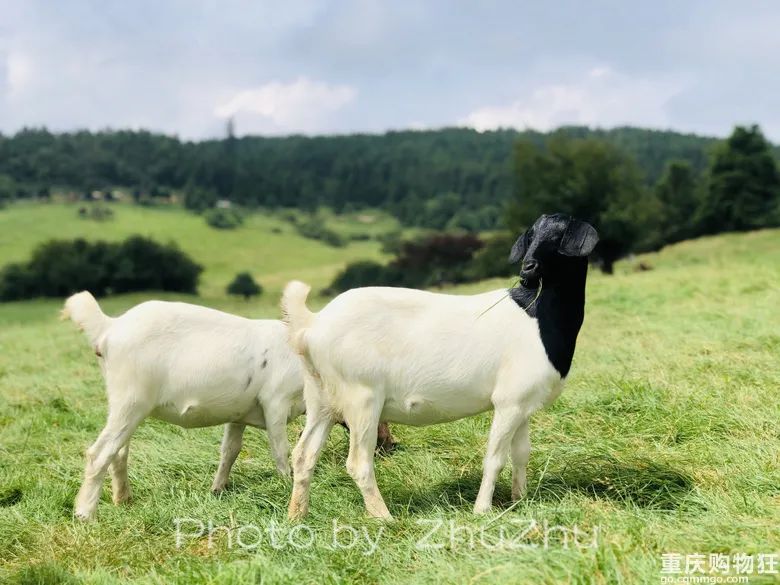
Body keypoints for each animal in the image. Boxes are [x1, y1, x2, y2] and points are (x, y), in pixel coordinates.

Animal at [63, 292, 304, 520]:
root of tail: (111, 326)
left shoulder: (238, 413)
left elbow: (230, 449)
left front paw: (217, 490)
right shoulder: (276, 400)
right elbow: (281, 449)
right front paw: (285, 484)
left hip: (123, 405)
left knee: (119, 452)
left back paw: (123, 500)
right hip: (131, 398)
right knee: (99, 453)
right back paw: (85, 515)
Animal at [284, 213, 596, 516]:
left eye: (558, 236)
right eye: (531, 236)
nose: (527, 270)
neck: (536, 316)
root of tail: (312, 324)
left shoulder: (523, 402)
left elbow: (521, 454)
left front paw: (520, 500)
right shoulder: (508, 402)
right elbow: (495, 458)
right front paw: (482, 511)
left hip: (321, 398)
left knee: (303, 455)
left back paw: (296, 517)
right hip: (361, 397)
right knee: (358, 463)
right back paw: (384, 518)